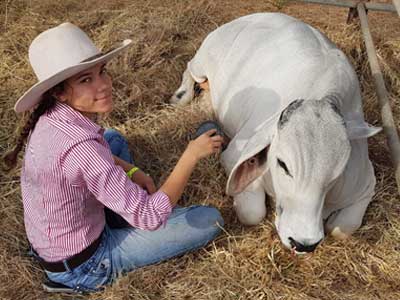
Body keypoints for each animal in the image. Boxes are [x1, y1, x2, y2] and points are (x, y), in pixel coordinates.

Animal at [170, 14, 380, 253]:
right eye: (283, 164)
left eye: (337, 173)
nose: (303, 243)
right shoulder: (234, 154)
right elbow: (252, 213)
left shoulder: (366, 183)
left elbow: (341, 228)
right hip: (202, 61)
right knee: (190, 69)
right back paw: (182, 96)